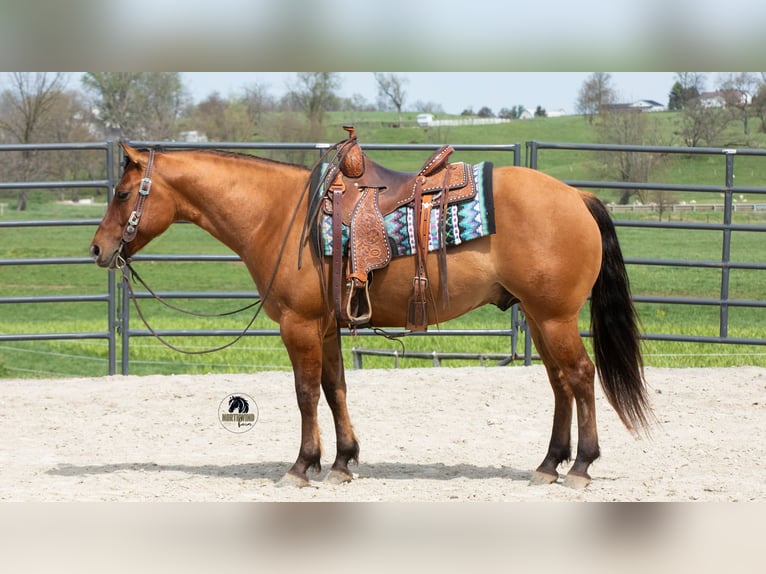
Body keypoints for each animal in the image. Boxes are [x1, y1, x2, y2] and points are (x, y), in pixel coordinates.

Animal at [89, 139, 653, 489]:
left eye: (122, 193)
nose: (96, 249)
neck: (280, 215)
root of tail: (576, 196)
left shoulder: (297, 325)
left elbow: (305, 393)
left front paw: (302, 465)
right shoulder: (326, 327)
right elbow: (335, 388)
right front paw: (342, 461)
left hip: (554, 317)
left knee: (580, 376)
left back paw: (580, 466)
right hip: (539, 318)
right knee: (560, 384)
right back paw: (549, 463)